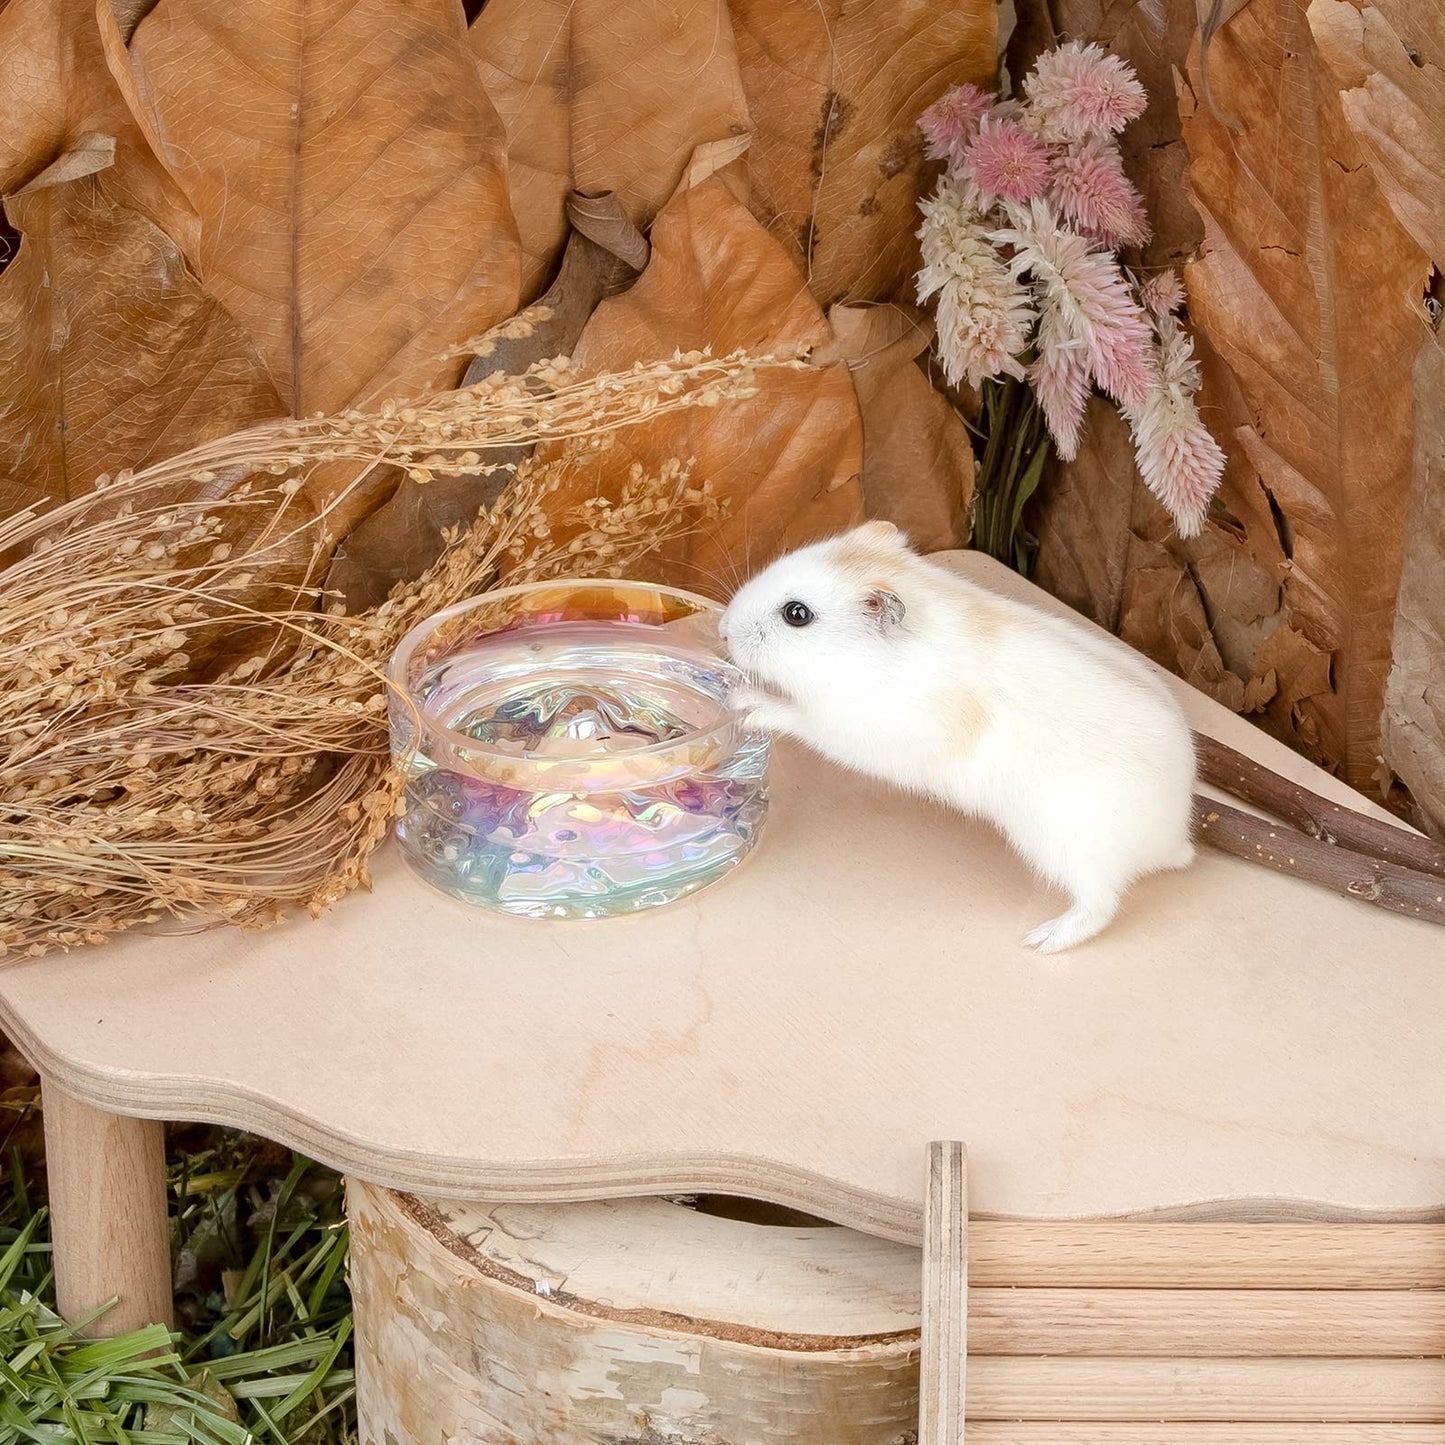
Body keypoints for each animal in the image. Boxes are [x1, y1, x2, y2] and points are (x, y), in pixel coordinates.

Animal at [718, 521, 1196, 953]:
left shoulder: (846, 728)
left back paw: (1040, 941)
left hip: (1069, 848)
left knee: (1100, 907)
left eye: (796, 614)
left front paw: (744, 703)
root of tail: (1173, 837)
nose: (722, 630)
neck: (865, 661)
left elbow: (793, 715)